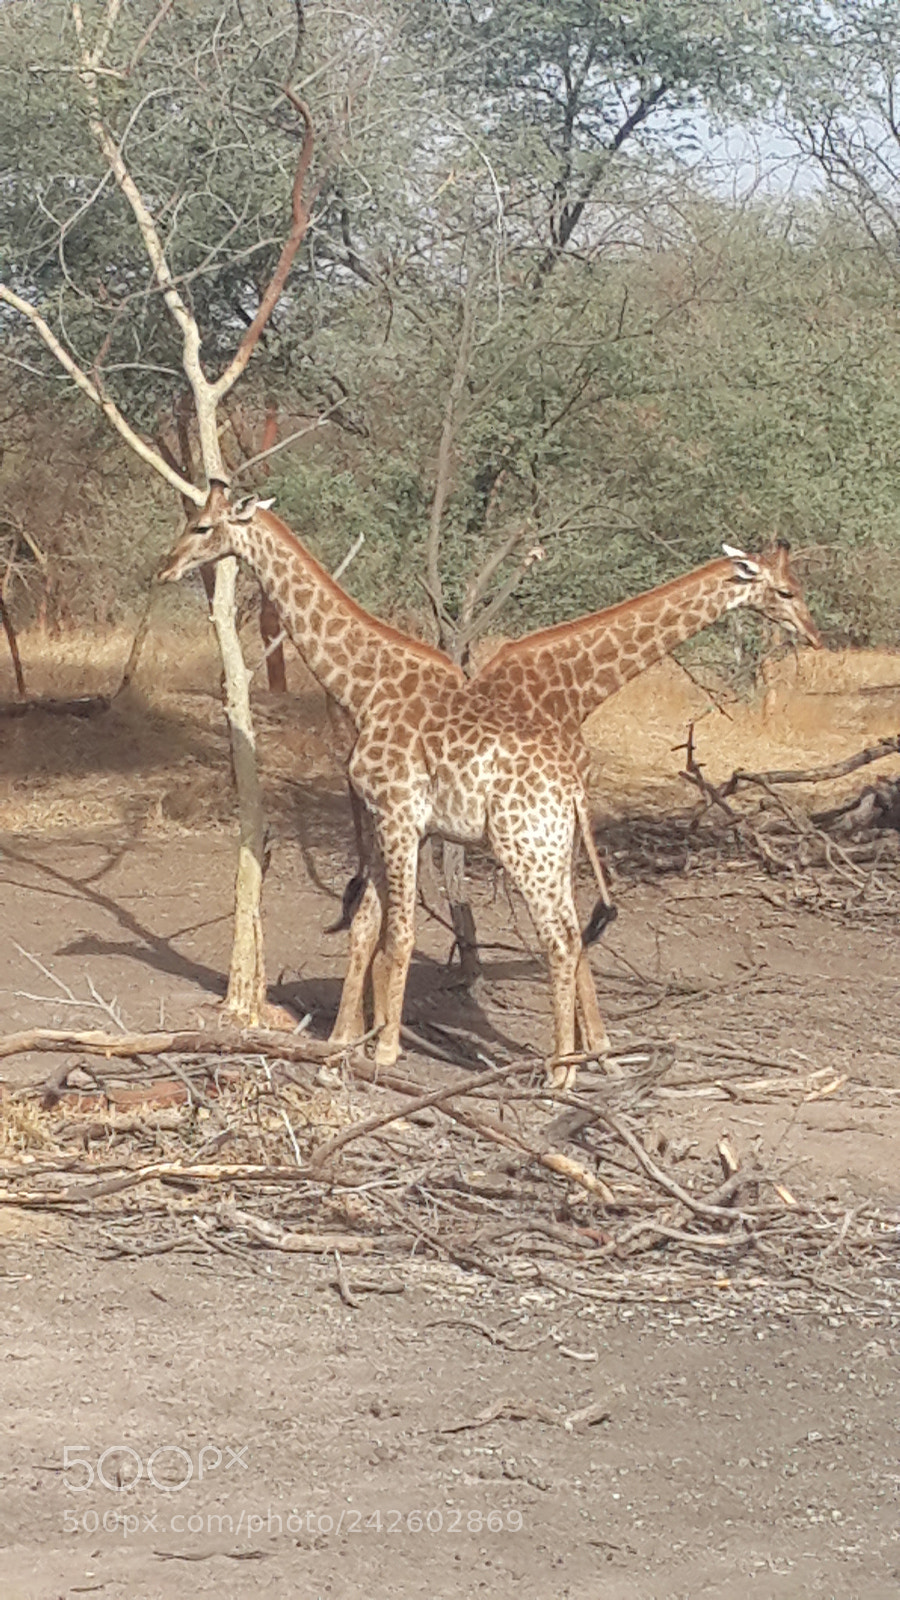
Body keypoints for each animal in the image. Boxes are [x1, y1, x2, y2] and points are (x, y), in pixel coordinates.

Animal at [157, 483, 616, 1086]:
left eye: (203, 527)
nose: (164, 567)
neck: (366, 687)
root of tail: (572, 787)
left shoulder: (400, 817)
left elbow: (399, 935)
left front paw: (386, 1050)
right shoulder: (385, 821)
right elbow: (367, 927)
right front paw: (340, 1047)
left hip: (523, 846)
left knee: (559, 939)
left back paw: (561, 1072)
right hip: (553, 850)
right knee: (571, 932)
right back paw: (580, 1058)